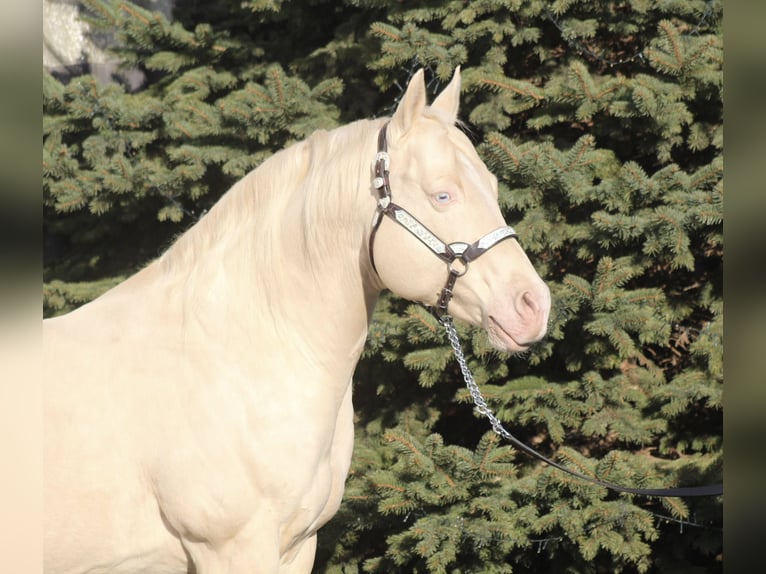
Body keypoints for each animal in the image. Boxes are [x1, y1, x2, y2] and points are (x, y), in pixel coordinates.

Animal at [43, 68, 551, 574]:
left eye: (493, 187)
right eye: (442, 194)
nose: (534, 305)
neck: (236, 354)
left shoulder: (298, 545)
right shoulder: (233, 549)